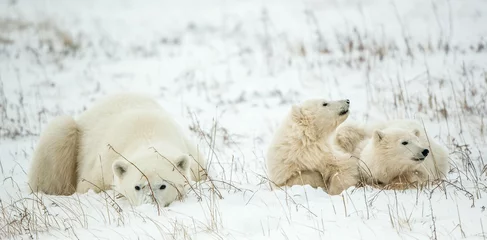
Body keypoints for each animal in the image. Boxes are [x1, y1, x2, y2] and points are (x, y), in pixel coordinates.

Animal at [28, 94, 208, 206]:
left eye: (163, 185)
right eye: (137, 187)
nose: (150, 204)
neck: (148, 133)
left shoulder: (195, 160)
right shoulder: (102, 165)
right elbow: (88, 187)